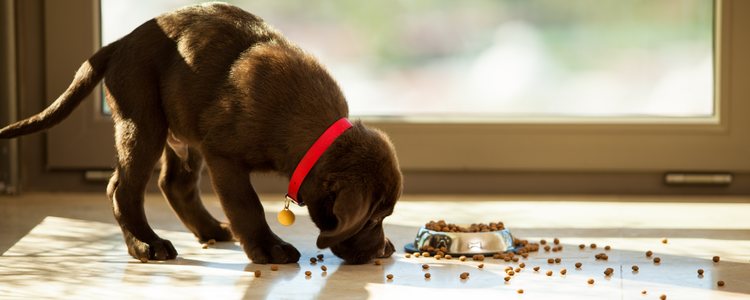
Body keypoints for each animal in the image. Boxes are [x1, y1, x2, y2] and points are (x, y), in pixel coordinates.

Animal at [0, 3, 402, 264]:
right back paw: (146, 245)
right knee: (122, 189)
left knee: (174, 183)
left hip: (181, 131)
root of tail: (120, 43)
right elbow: (247, 204)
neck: (312, 132)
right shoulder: (224, 155)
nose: (384, 250)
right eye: (373, 219)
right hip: (143, 122)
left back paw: (210, 229)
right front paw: (268, 248)